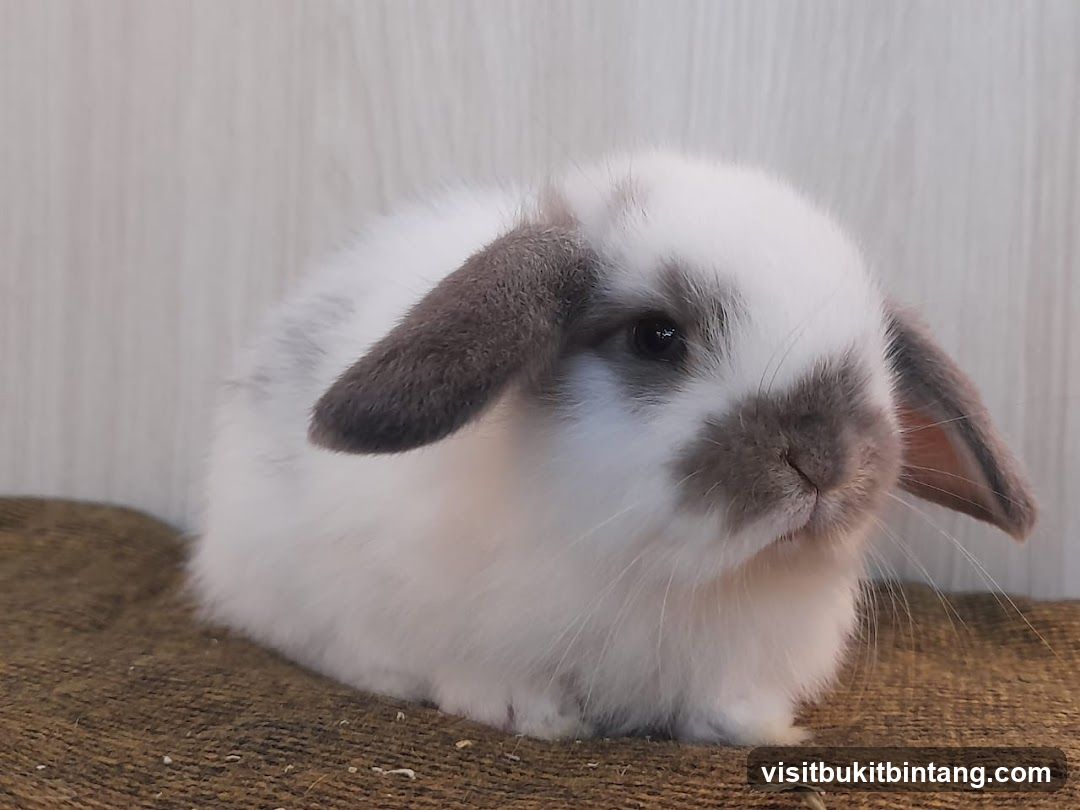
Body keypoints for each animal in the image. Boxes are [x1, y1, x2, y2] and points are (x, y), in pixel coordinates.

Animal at [190, 151, 1036, 745]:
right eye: (656, 337)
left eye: (880, 356)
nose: (825, 463)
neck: (668, 573)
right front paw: (530, 713)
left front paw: (756, 728)